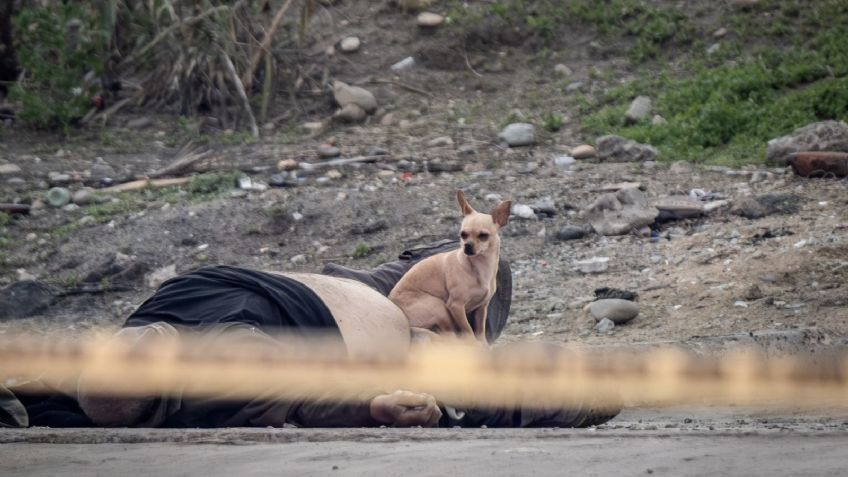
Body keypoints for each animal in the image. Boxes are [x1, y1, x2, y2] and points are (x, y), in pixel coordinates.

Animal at [390, 191, 510, 342]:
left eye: (483, 236)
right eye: (463, 235)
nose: (467, 246)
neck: (480, 268)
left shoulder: (481, 308)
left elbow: (480, 332)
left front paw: (483, 345)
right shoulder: (455, 306)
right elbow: (469, 331)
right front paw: (473, 343)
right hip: (439, 307)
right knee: (449, 336)